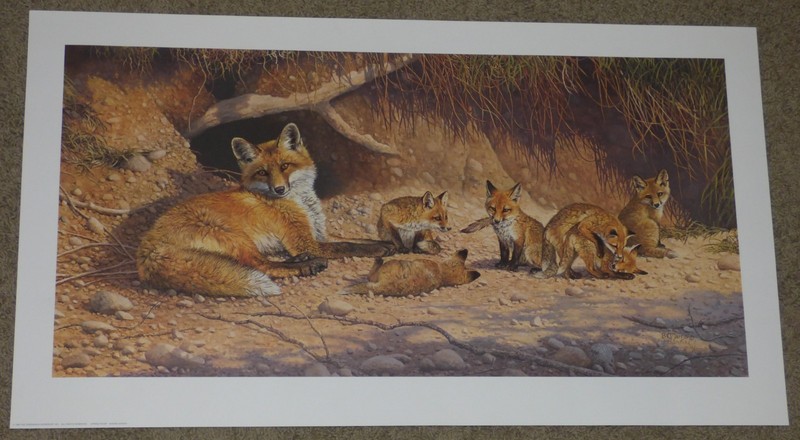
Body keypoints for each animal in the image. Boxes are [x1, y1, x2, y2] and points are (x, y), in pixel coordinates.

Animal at [136, 123, 394, 298]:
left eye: (285, 166)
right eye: (263, 172)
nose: (279, 189)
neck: (301, 202)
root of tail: (147, 247)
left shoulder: (318, 235)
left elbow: (357, 238)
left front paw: (389, 242)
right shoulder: (306, 242)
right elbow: (349, 245)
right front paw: (381, 248)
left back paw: (301, 260)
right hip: (236, 237)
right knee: (262, 265)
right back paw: (308, 265)